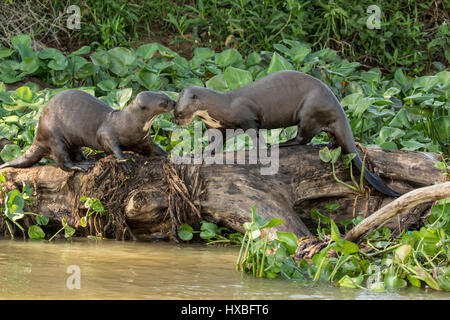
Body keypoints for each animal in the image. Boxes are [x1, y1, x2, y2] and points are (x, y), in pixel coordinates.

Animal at [0, 89, 175, 172]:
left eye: (166, 95)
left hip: (73, 141)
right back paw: (81, 166)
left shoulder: (142, 139)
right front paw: (123, 161)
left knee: (75, 152)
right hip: (54, 138)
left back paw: (85, 160)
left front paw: (169, 155)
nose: (174, 102)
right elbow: (112, 146)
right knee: (62, 162)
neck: (128, 123)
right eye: (163, 102)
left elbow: (154, 148)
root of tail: (38, 136)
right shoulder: (107, 133)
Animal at [176, 69, 400, 198]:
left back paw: (281, 144)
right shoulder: (217, 127)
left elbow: (256, 137)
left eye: (180, 112)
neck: (222, 106)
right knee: (330, 140)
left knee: (303, 138)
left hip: (309, 111)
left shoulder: (248, 118)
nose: (177, 120)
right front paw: (198, 154)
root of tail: (339, 108)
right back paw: (328, 145)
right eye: (174, 111)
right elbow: (214, 145)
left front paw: (260, 150)